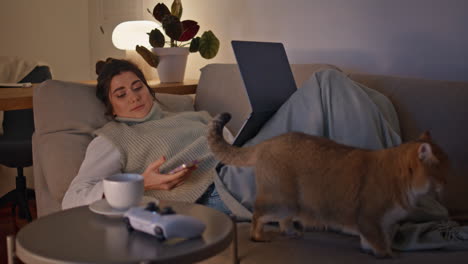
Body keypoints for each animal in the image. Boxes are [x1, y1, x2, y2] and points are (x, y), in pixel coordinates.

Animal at [209, 112, 450, 256]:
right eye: (443, 169)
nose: (448, 181)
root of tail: (267, 142)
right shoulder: (370, 219)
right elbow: (380, 245)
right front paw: (387, 254)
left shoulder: (384, 224)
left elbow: (375, 241)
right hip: (281, 201)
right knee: (258, 215)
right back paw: (258, 236)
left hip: (292, 204)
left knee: (283, 222)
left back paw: (291, 232)